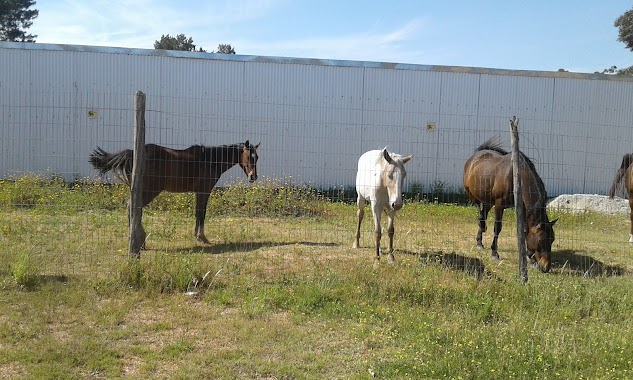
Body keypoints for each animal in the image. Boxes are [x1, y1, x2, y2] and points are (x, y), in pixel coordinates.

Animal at [89, 141, 260, 245]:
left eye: (257, 157)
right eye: (248, 156)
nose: (253, 176)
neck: (209, 160)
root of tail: (132, 153)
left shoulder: (198, 193)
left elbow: (197, 213)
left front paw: (197, 235)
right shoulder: (204, 192)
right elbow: (201, 213)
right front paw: (202, 237)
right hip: (150, 190)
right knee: (133, 207)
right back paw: (140, 239)